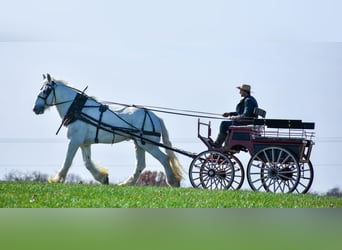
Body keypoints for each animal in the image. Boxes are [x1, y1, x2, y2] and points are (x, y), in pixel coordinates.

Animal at [32, 73, 183, 187]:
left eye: (45, 90)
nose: (35, 109)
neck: (77, 108)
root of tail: (156, 117)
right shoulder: (84, 143)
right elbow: (87, 163)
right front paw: (103, 178)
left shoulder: (75, 140)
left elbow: (68, 160)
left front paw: (56, 179)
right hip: (139, 144)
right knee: (141, 165)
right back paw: (127, 183)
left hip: (149, 144)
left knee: (164, 159)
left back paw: (173, 181)